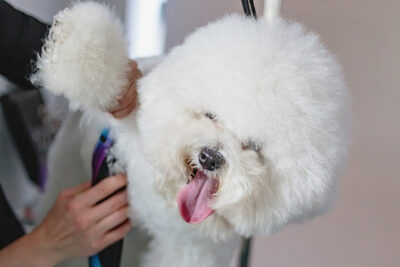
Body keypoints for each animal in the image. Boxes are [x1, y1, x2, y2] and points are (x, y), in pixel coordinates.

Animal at [32, 2, 350, 267]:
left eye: (252, 146)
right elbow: (105, 73)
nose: (210, 157)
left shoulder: (189, 251)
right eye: (210, 116)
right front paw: (71, 37)